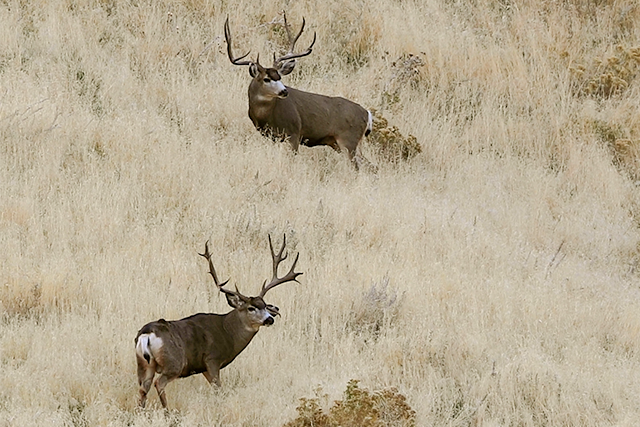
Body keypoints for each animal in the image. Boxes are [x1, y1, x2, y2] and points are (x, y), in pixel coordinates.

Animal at [134, 235, 302, 409]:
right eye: (251, 308)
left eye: (265, 305)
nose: (270, 319)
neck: (227, 332)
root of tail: (146, 334)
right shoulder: (212, 360)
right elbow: (219, 390)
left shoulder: (204, 367)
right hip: (174, 362)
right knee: (159, 383)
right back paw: (167, 411)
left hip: (144, 364)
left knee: (143, 389)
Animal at [225, 13, 375, 170]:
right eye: (266, 79)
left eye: (279, 77)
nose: (284, 91)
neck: (266, 114)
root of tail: (367, 114)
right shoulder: (272, 137)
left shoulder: (294, 132)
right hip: (346, 143)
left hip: (348, 140)